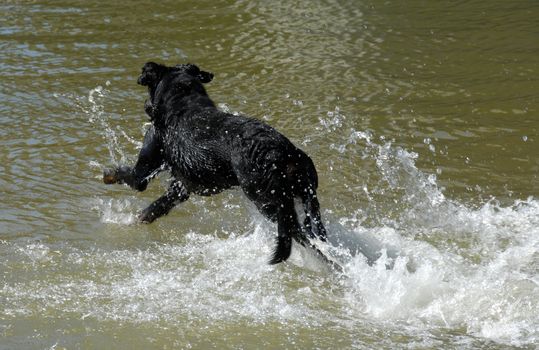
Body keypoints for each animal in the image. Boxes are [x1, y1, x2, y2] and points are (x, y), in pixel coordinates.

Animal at [103, 61, 336, 266]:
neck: (182, 102)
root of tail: (283, 152)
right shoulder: (180, 187)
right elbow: (152, 210)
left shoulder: (143, 171)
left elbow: (128, 177)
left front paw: (108, 175)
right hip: (308, 195)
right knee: (315, 232)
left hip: (268, 200)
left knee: (299, 235)